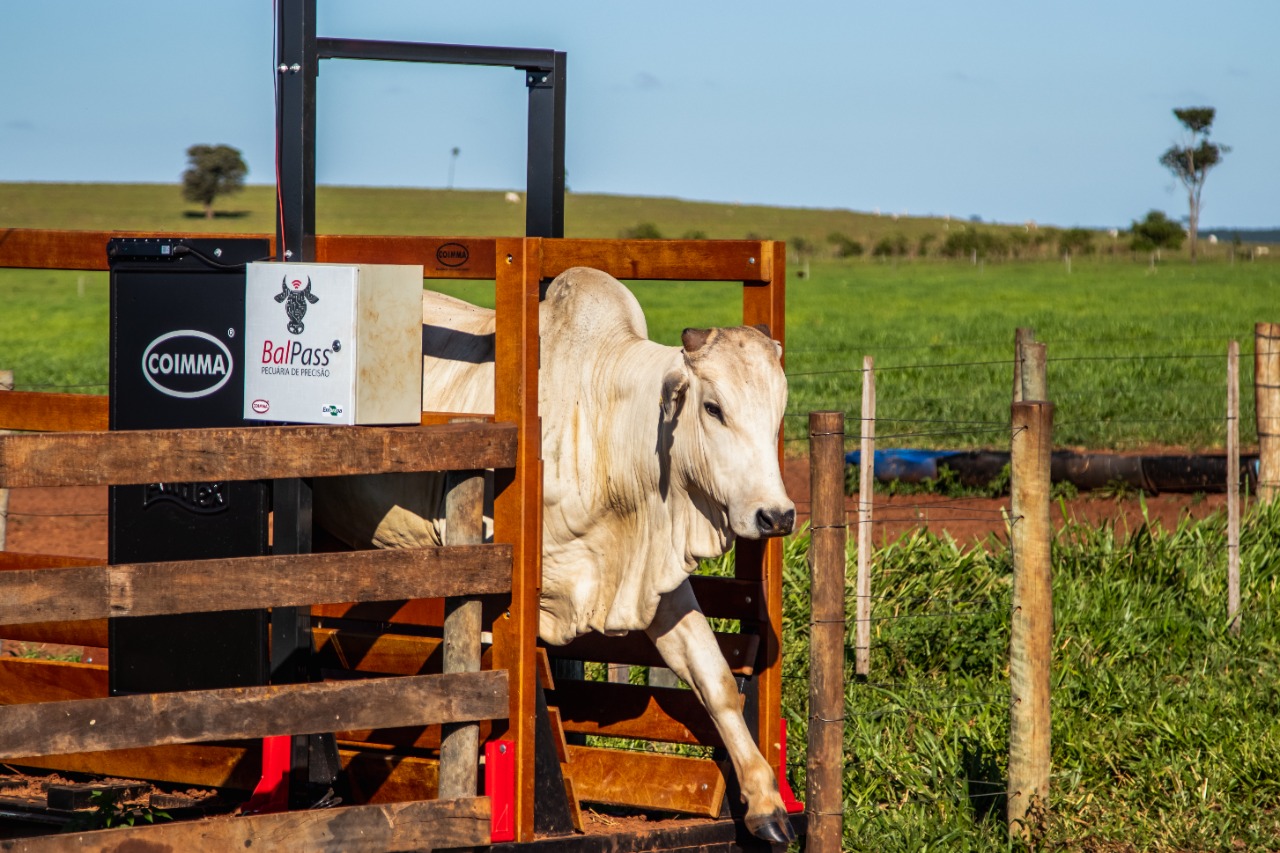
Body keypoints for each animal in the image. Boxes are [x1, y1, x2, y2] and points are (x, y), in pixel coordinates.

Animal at [314, 263, 793, 835]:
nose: (776, 515)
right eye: (714, 408)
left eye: (779, 411)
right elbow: (481, 686)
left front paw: (765, 803)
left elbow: (714, 676)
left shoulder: (652, 583)